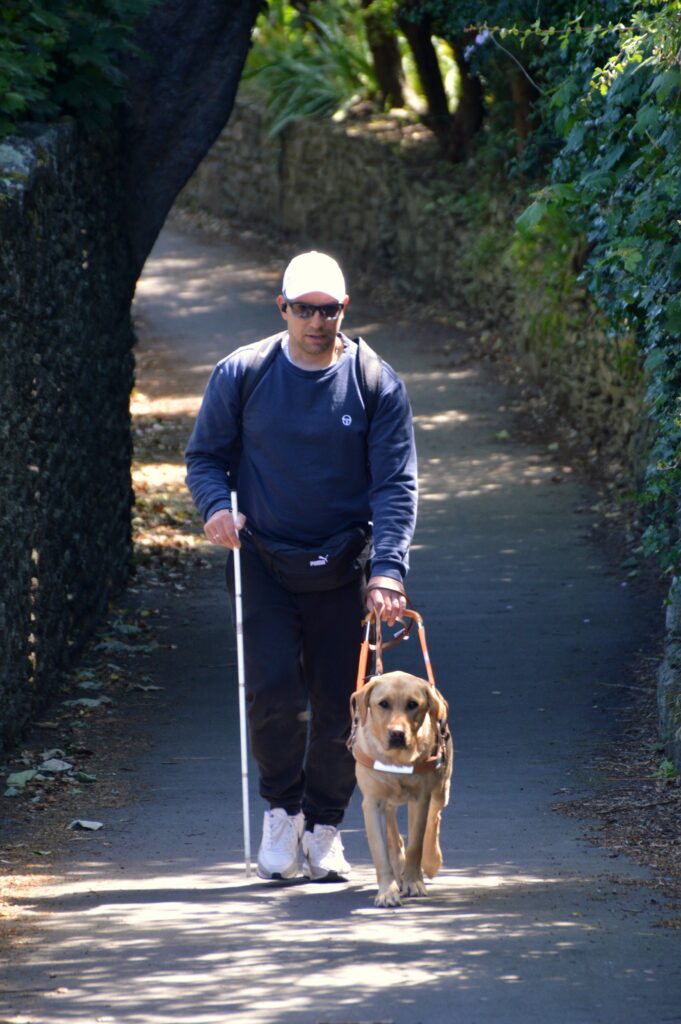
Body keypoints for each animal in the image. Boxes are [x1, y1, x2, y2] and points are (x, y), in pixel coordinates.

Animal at [350, 671, 450, 905]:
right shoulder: (372, 803)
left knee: (435, 818)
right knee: (394, 837)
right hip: (387, 803)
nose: (397, 733)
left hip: (441, 788)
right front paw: (387, 891)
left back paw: (431, 861)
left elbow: (416, 845)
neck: (397, 760)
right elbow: (380, 852)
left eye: (412, 704)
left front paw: (414, 882)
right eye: (383, 704)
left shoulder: (421, 799)